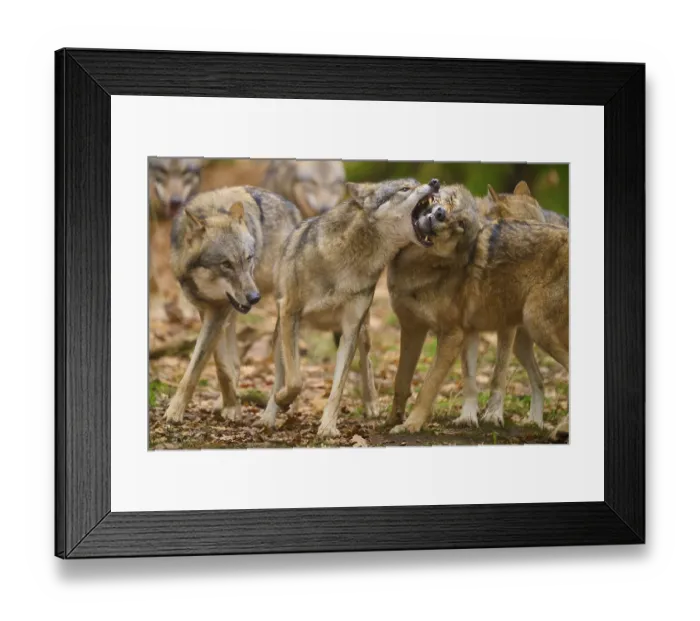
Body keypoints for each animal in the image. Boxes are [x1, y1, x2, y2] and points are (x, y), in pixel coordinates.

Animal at [163, 186, 301, 423]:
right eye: (226, 264)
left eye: (249, 258)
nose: (254, 297)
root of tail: (293, 207)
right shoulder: (210, 311)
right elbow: (221, 367)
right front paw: (230, 404)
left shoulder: (218, 312)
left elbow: (197, 368)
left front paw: (176, 411)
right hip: (234, 314)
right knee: (235, 363)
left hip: (281, 320)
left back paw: (276, 413)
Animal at [258, 178, 441, 438]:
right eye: (405, 188)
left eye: (417, 183)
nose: (435, 182)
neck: (347, 260)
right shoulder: (289, 314)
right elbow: (293, 380)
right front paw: (281, 401)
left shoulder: (350, 329)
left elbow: (338, 387)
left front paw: (327, 427)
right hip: (280, 331)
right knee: (281, 372)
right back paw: (271, 413)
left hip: (362, 331)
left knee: (367, 361)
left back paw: (371, 404)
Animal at [387, 183, 569, 435]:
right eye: (449, 201)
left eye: (461, 225)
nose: (440, 214)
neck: (417, 265)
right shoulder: (418, 328)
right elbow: (461, 380)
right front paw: (466, 417)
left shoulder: (454, 334)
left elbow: (432, 386)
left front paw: (411, 425)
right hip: (525, 342)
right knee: (540, 379)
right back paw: (535, 422)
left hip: (538, 329)